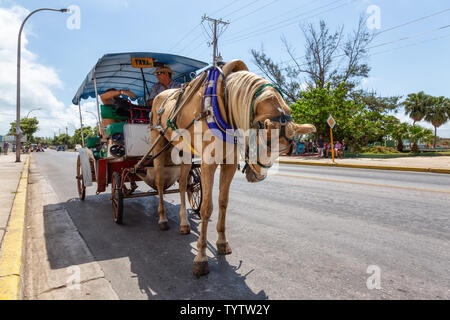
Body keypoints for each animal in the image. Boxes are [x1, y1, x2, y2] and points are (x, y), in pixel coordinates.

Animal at [149, 61, 314, 276]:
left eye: (285, 151)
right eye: (264, 143)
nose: (257, 176)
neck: (223, 101)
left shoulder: (228, 163)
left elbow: (223, 203)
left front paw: (222, 242)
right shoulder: (208, 162)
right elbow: (206, 208)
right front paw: (201, 257)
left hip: (184, 151)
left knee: (184, 183)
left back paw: (184, 223)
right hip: (159, 144)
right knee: (160, 183)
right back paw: (162, 219)